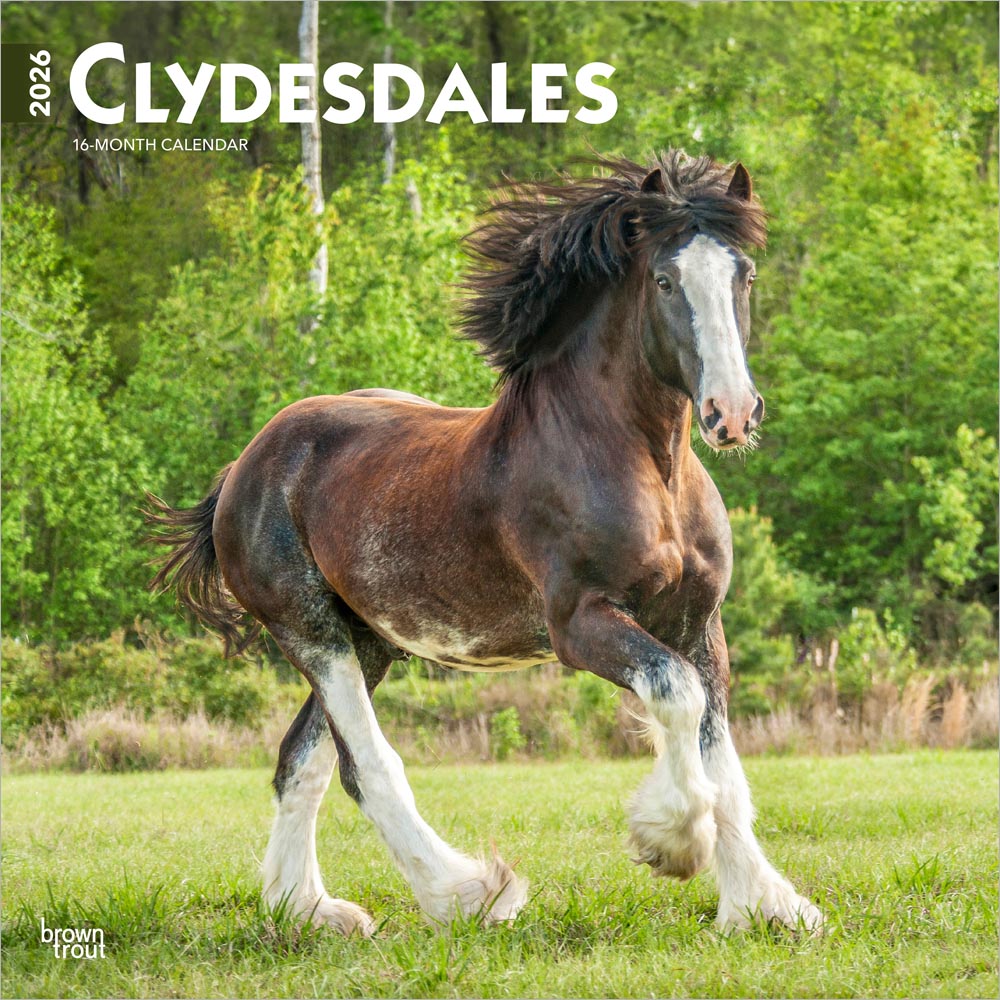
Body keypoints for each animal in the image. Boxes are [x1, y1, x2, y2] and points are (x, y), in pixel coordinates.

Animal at [147, 151, 823, 936]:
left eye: (744, 273)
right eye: (664, 280)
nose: (731, 413)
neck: (641, 466)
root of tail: (243, 467)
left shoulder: (696, 621)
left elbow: (724, 763)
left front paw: (767, 906)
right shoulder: (581, 624)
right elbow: (675, 697)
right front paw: (672, 842)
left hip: (369, 641)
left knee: (301, 762)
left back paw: (308, 911)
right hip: (311, 632)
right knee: (365, 765)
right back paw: (468, 893)